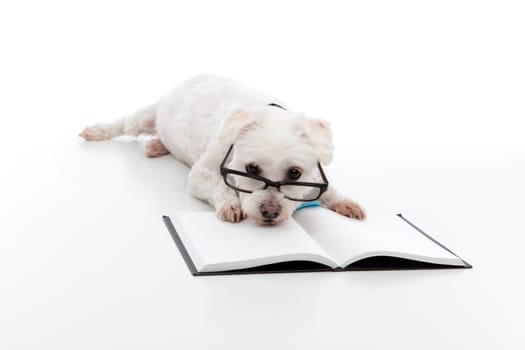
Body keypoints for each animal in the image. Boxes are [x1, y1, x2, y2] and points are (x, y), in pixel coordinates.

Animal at [79, 75, 364, 226]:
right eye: (251, 168)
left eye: (295, 173)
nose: (270, 212)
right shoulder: (201, 174)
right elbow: (219, 186)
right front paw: (230, 204)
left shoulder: (316, 173)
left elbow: (331, 189)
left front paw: (343, 201)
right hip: (145, 117)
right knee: (123, 123)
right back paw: (98, 131)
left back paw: (158, 144)